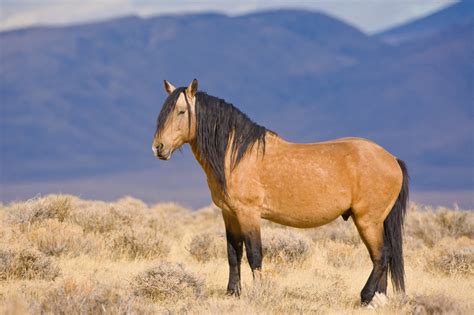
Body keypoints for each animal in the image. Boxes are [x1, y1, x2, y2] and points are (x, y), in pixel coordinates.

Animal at [151, 79, 408, 306]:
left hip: (368, 220)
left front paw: (258, 294)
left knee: (381, 256)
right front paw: (232, 293)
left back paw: (366, 297)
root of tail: (392, 159)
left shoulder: (249, 214)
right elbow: (233, 254)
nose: (158, 148)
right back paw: (378, 300)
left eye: (181, 111)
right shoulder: (229, 214)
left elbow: (254, 255)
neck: (236, 156)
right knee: (383, 258)